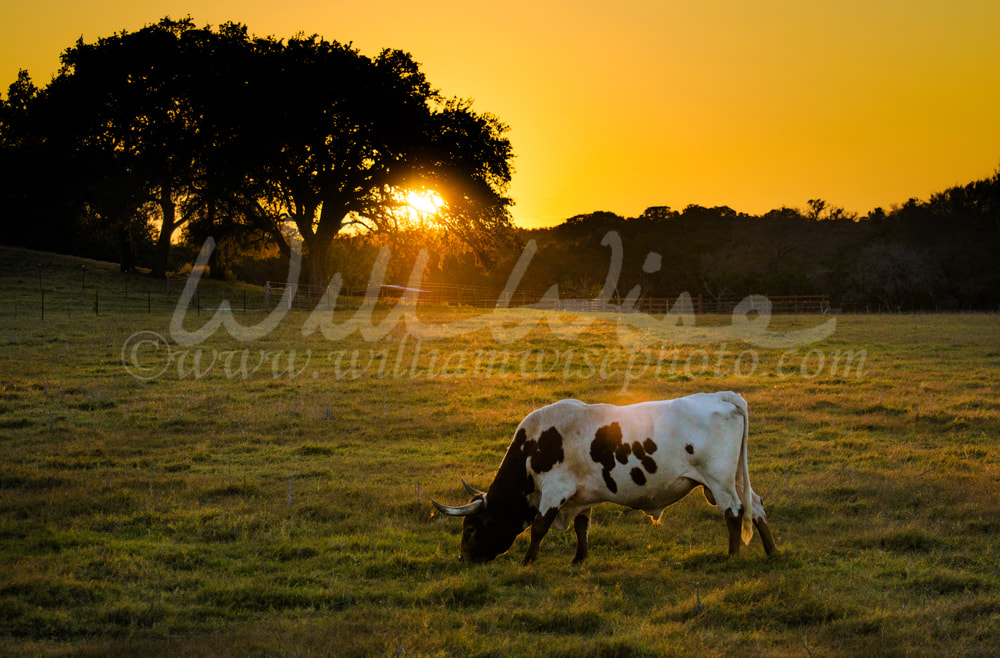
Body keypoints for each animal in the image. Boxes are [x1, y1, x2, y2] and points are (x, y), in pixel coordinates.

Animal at [434, 390, 776, 564]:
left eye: (471, 528)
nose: (463, 558)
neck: (533, 447)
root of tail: (722, 396)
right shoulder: (581, 495)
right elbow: (582, 526)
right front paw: (579, 559)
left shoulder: (554, 490)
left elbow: (540, 527)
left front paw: (528, 561)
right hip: (736, 478)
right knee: (756, 506)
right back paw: (772, 551)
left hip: (719, 481)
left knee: (734, 511)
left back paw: (732, 556)